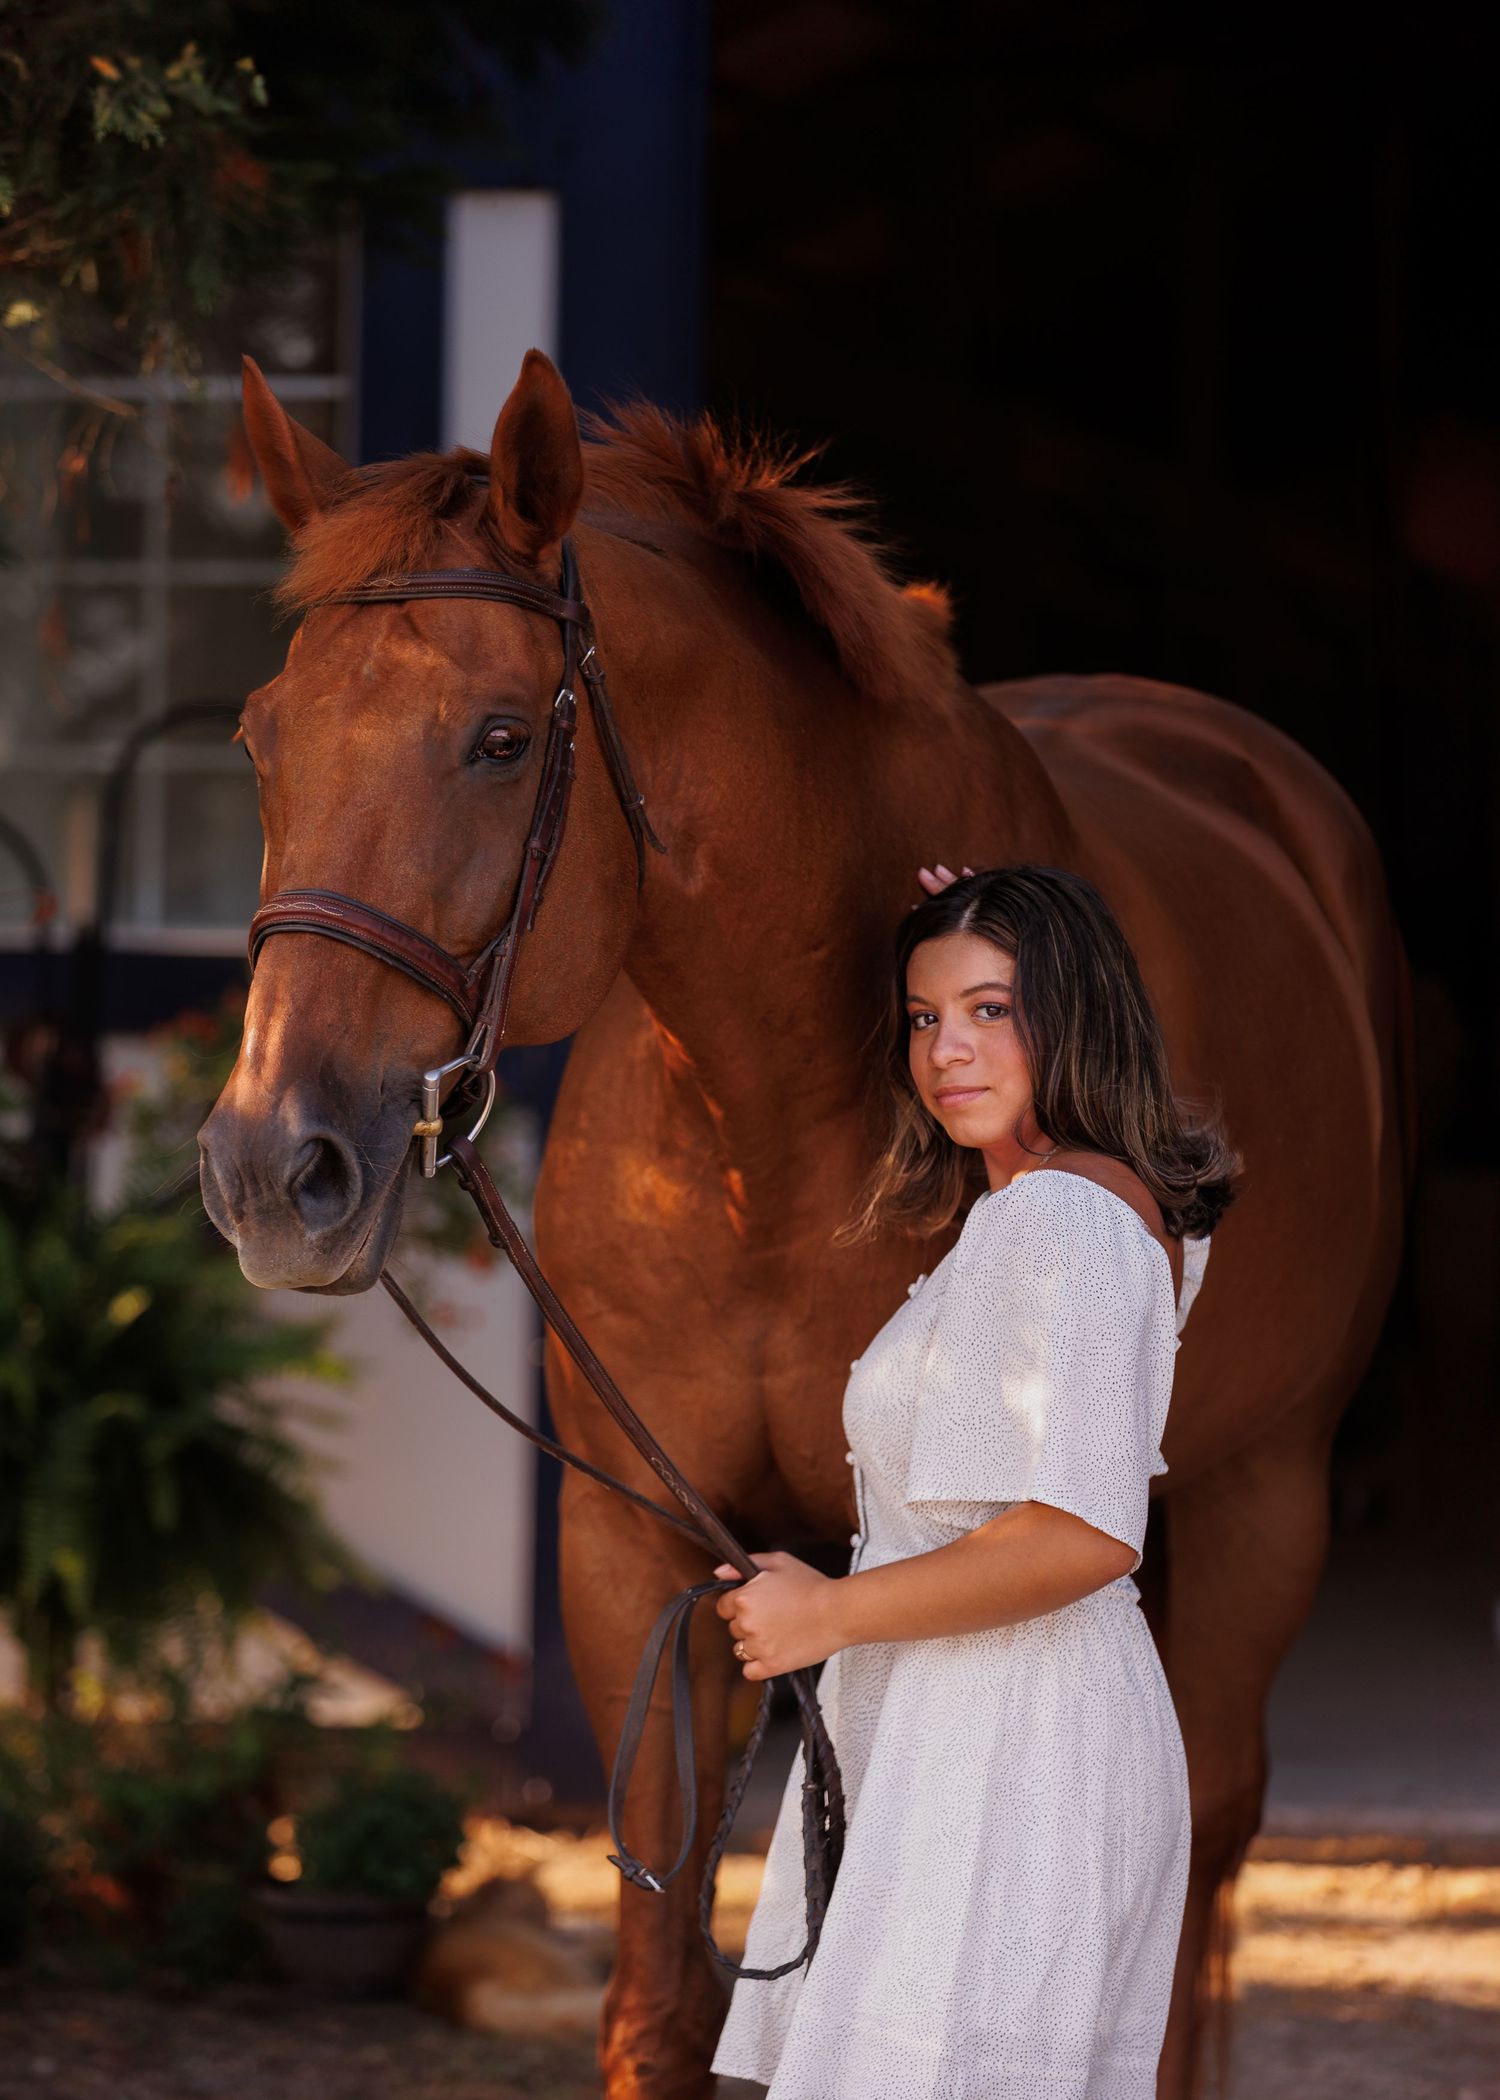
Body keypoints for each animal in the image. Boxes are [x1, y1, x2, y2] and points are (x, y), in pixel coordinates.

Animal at [200, 347, 1415, 2099]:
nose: (268, 1167)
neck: (766, 1135)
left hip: (1269, 1495)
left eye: (497, 739)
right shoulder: (643, 1559)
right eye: (261, 736)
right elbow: (658, 2002)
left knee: (1206, 1848)